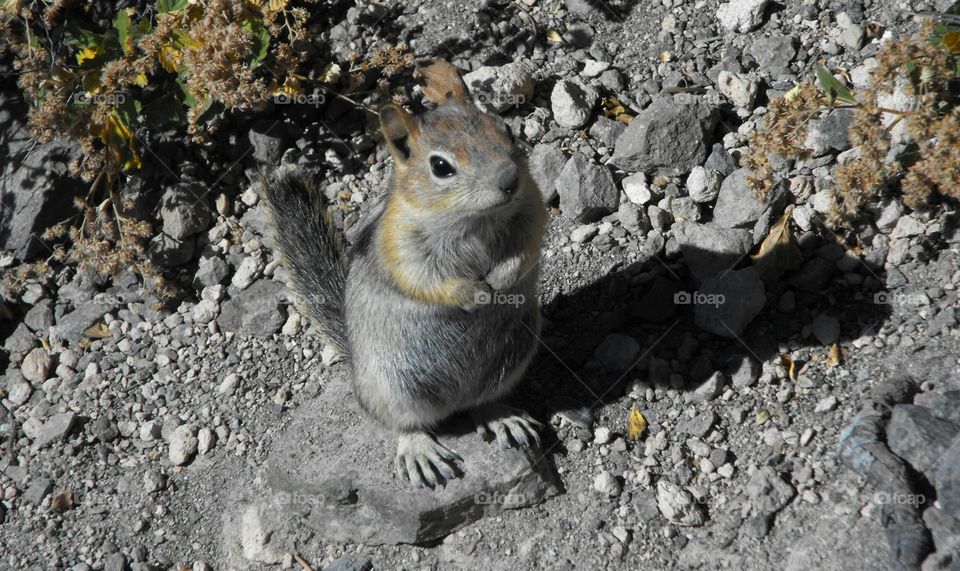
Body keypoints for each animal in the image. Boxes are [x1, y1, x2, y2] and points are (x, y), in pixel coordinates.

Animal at [263, 60, 548, 488]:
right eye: (441, 166)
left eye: (505, 128)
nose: (508, 179)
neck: (474, 219)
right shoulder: (399, 246)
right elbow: (423, 279)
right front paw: (475, 293)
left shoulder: (532, 205)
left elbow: (527, 245)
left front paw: (502, 279)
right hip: (393, 389)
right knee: (403, 425)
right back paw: (420, 450)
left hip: (515, 355)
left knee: (483, 401)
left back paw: (501, 415)